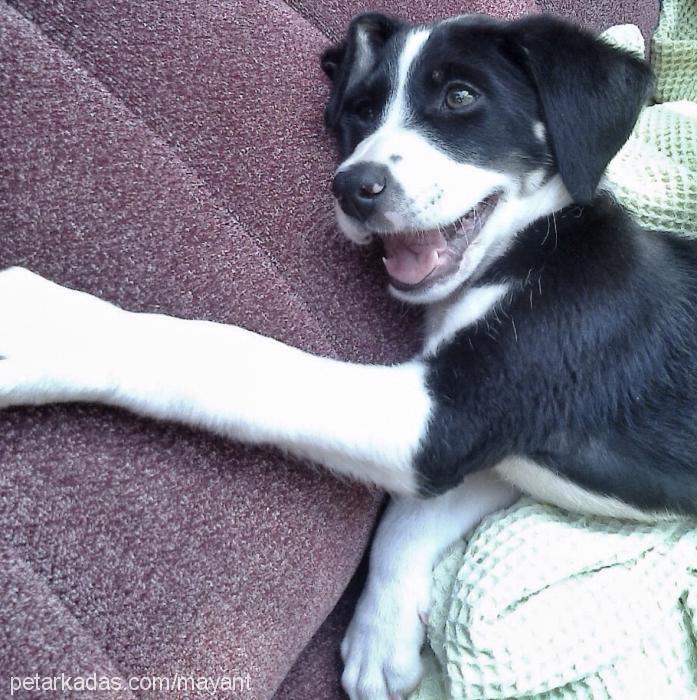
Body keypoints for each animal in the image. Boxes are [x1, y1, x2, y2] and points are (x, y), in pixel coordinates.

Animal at [1, 10, 696, 700]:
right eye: (362, 111)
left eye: (461, 97)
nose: (353, 187)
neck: (528, 246)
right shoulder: (491, 452)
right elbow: (410, 518)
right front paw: (380, 636)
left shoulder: (456, 413)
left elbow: (240, 357)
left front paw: (58, 330)